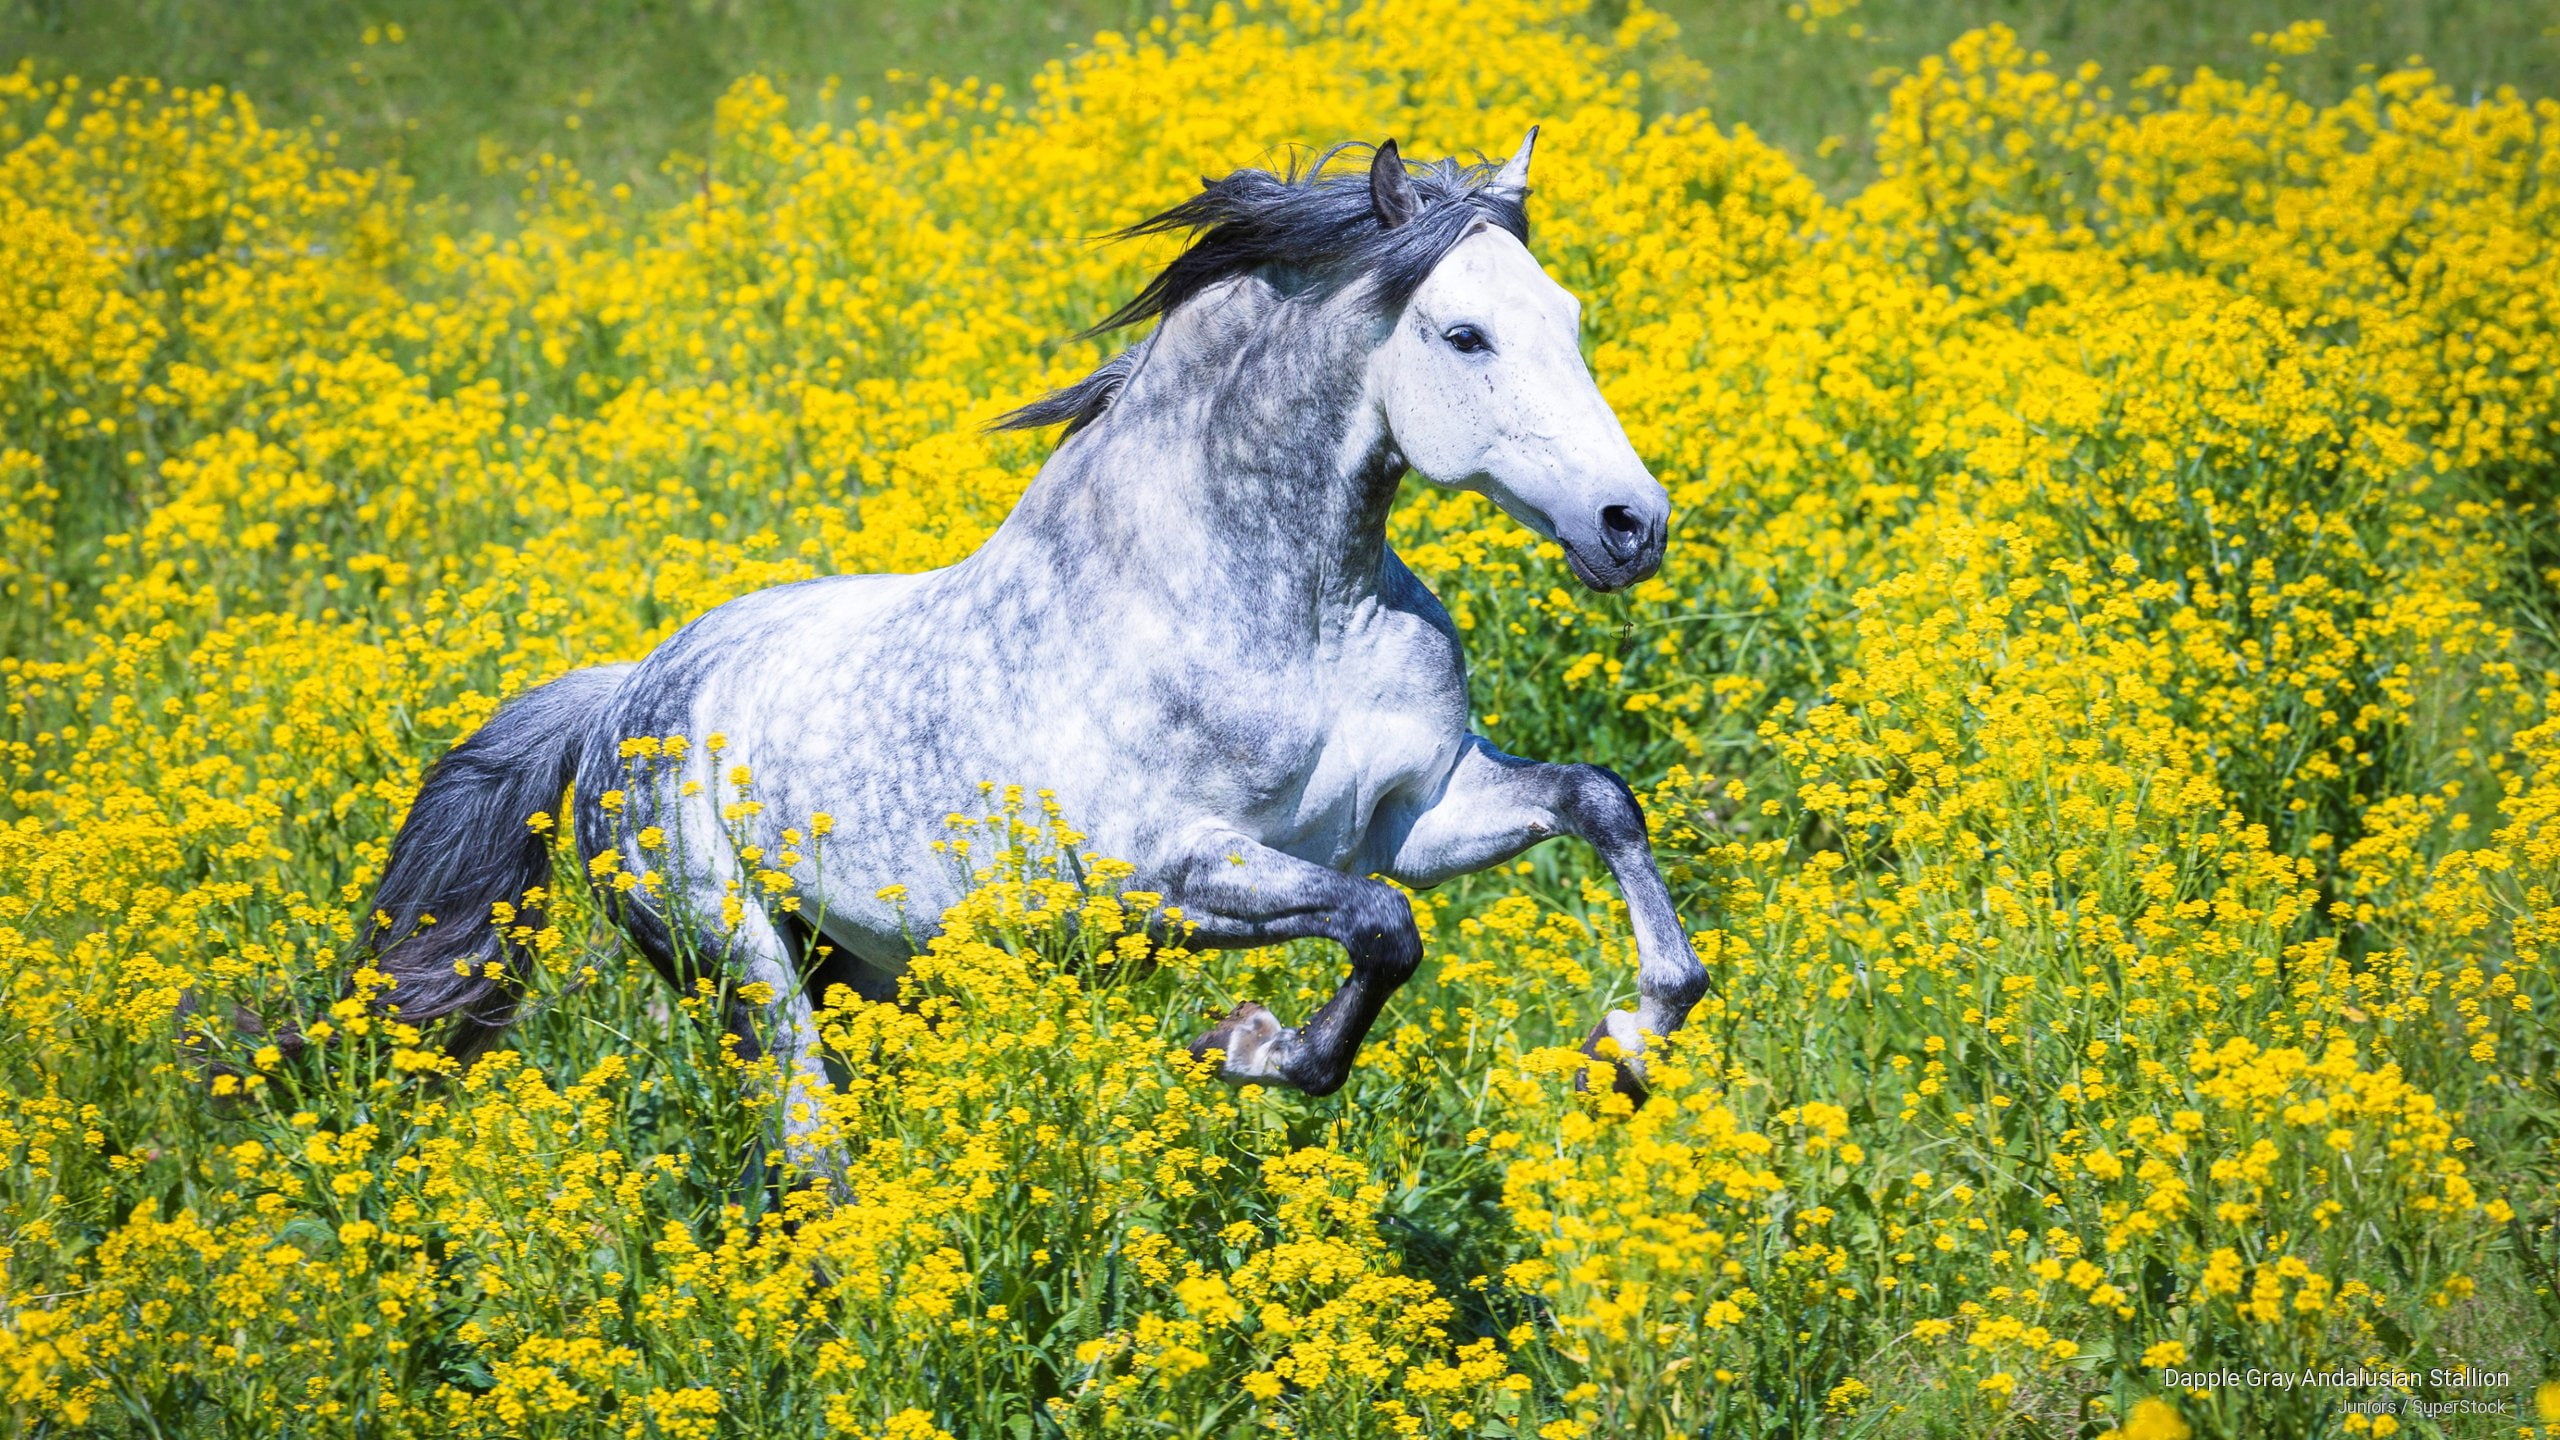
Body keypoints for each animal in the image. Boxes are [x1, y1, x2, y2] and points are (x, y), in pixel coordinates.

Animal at [363, 132, 1712, 1162]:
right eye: (1464, 336)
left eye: (1569, 318)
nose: (1628, 524)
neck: (1287, 613)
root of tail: (622, 697)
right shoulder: (1170, 877)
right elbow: (1383, 931)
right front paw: (1248, 1047)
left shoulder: (1411, 818)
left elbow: (1599, 801)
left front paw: (1627, 1043)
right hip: (742, 974)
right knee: (811, 1173)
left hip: (871, 974)